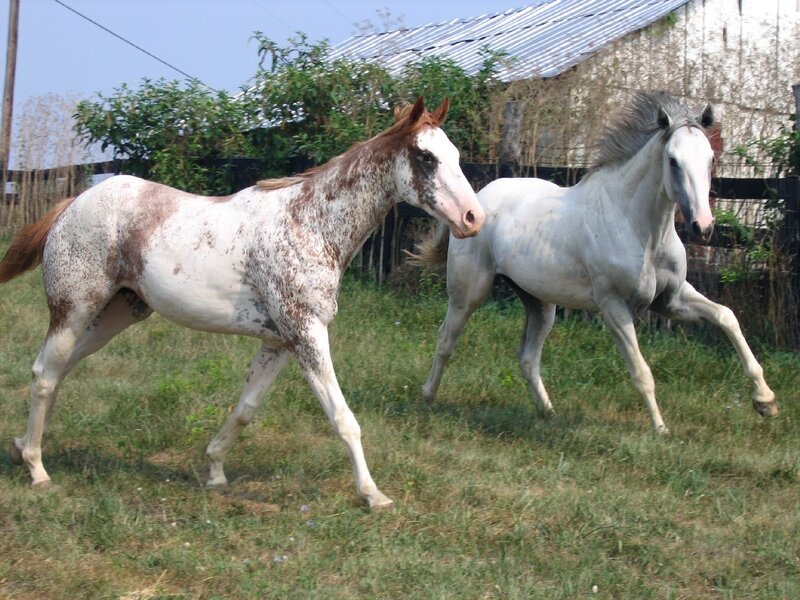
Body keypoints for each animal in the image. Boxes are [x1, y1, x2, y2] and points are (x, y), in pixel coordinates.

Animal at [0, 96, 485, 509]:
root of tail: (72, 204)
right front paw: (373, 494)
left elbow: (246, 408)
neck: (311, 225)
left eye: (456, 154)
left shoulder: (279, 342)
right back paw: (37, 469)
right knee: (44, 374)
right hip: (74, 309)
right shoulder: (307, 334)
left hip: (116, 314)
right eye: (426, 157)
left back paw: (23, 447)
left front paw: (214, 469)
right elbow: (342, 417)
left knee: (59, 370)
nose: (473, 218)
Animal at [412, 91, 778, 433]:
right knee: (446, 339)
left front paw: (766, 402)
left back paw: (549, 413)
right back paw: (427, 398)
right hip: (469, 292)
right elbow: (641, 370)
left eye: (710, 159)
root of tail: (475, 204)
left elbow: (726, 317)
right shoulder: (613, 305)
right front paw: (661, 429)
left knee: (528, 358)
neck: (640, 228)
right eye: (673, 161)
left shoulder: (670, 300)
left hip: (540, 302)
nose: (703, 227)